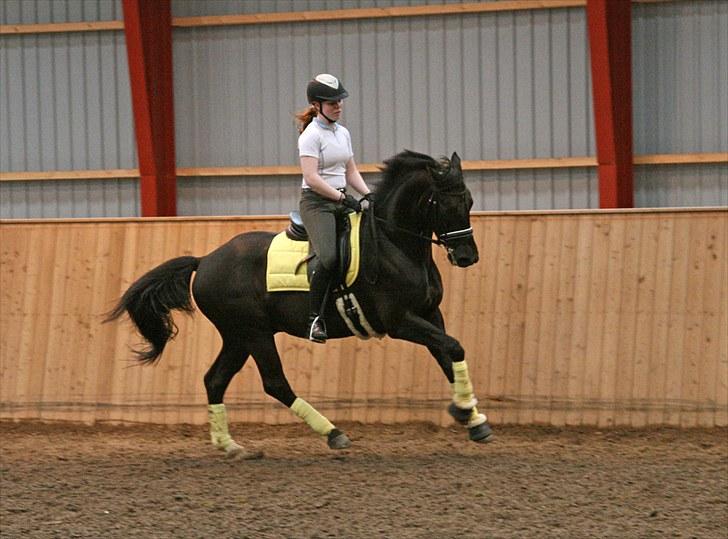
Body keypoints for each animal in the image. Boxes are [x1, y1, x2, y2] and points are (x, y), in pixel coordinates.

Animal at [106, 150, 494, 458]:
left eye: (470, 202)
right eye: (445, 204)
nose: (467, 257)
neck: (394, 243)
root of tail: (205, 261)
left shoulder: (430, 314)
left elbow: (449, 354)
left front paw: (473, 419)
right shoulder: (400, 322)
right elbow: (453, 348)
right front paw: (464, 412)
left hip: (237, 336)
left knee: (214, 380)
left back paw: (231, 447)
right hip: (254, 333)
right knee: (274, 382)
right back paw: (333, 433)